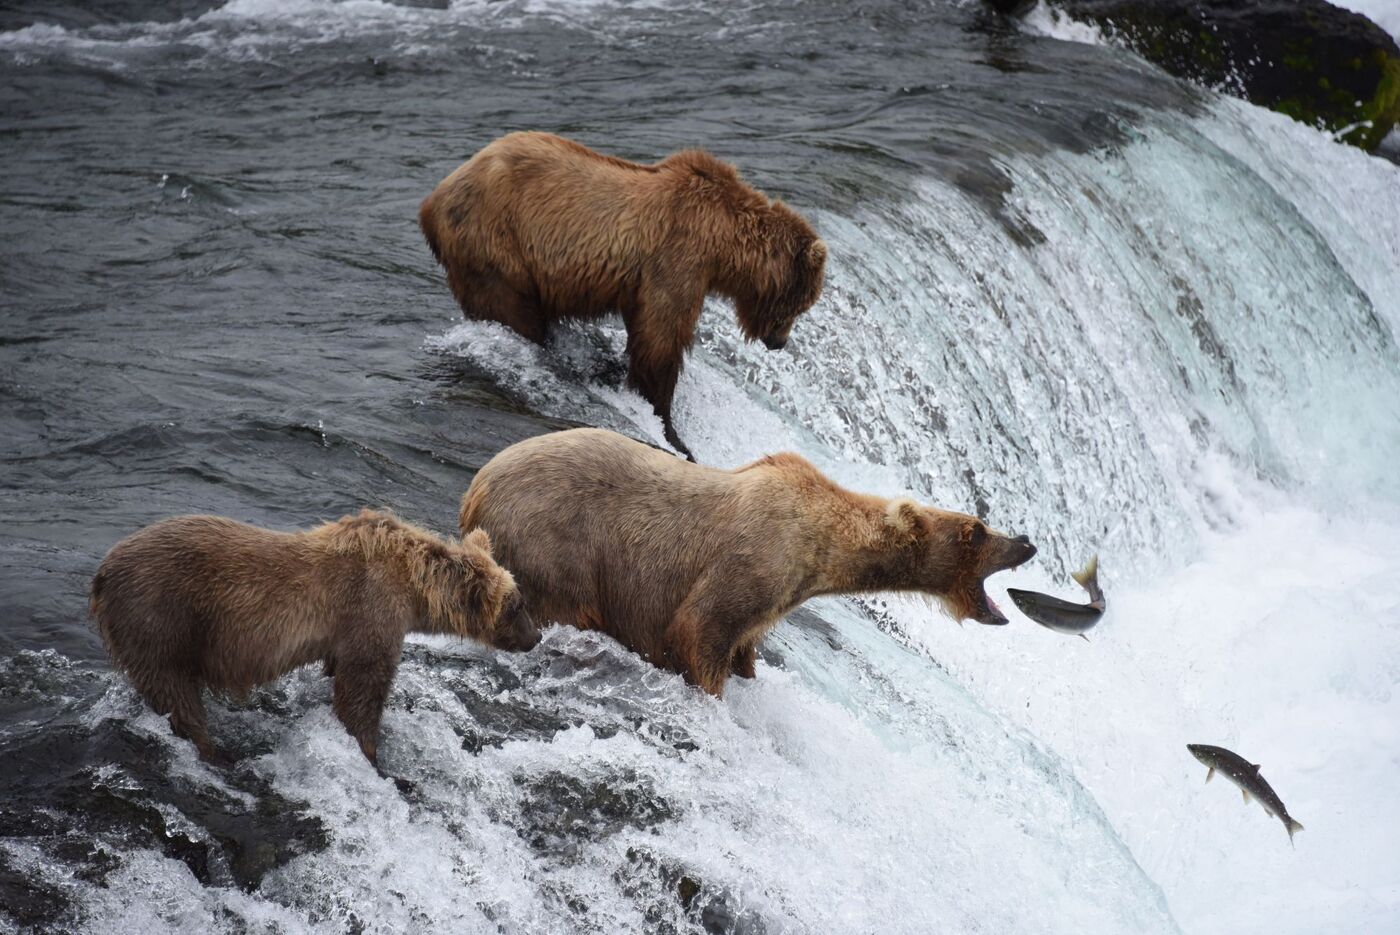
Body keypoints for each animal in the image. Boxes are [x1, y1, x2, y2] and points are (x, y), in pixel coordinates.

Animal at [89, 509, 539, 765]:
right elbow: (363, 689)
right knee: (175, 693)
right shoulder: (371, 611)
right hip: (160, 618)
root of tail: (101, 574)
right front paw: (371, 753)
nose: (535, 637)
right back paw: (213, 751)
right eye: (517, 605)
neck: (413, 588)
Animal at [418, 131, 828, 460]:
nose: (779, 342)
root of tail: (431, 203)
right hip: (495, 243)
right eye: (802, 303)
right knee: (511, 311)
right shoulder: (679, 256)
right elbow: (660, 341)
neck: (723, 245)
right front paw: (671, 431)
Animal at [459, 428, 1037, 696]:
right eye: (976, 530)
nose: (1026, 541)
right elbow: (700, 629)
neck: (821, 550)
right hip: (557, 544)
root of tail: (476, 488)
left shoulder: (775, 600)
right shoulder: (754, 558)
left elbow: (743, 645)